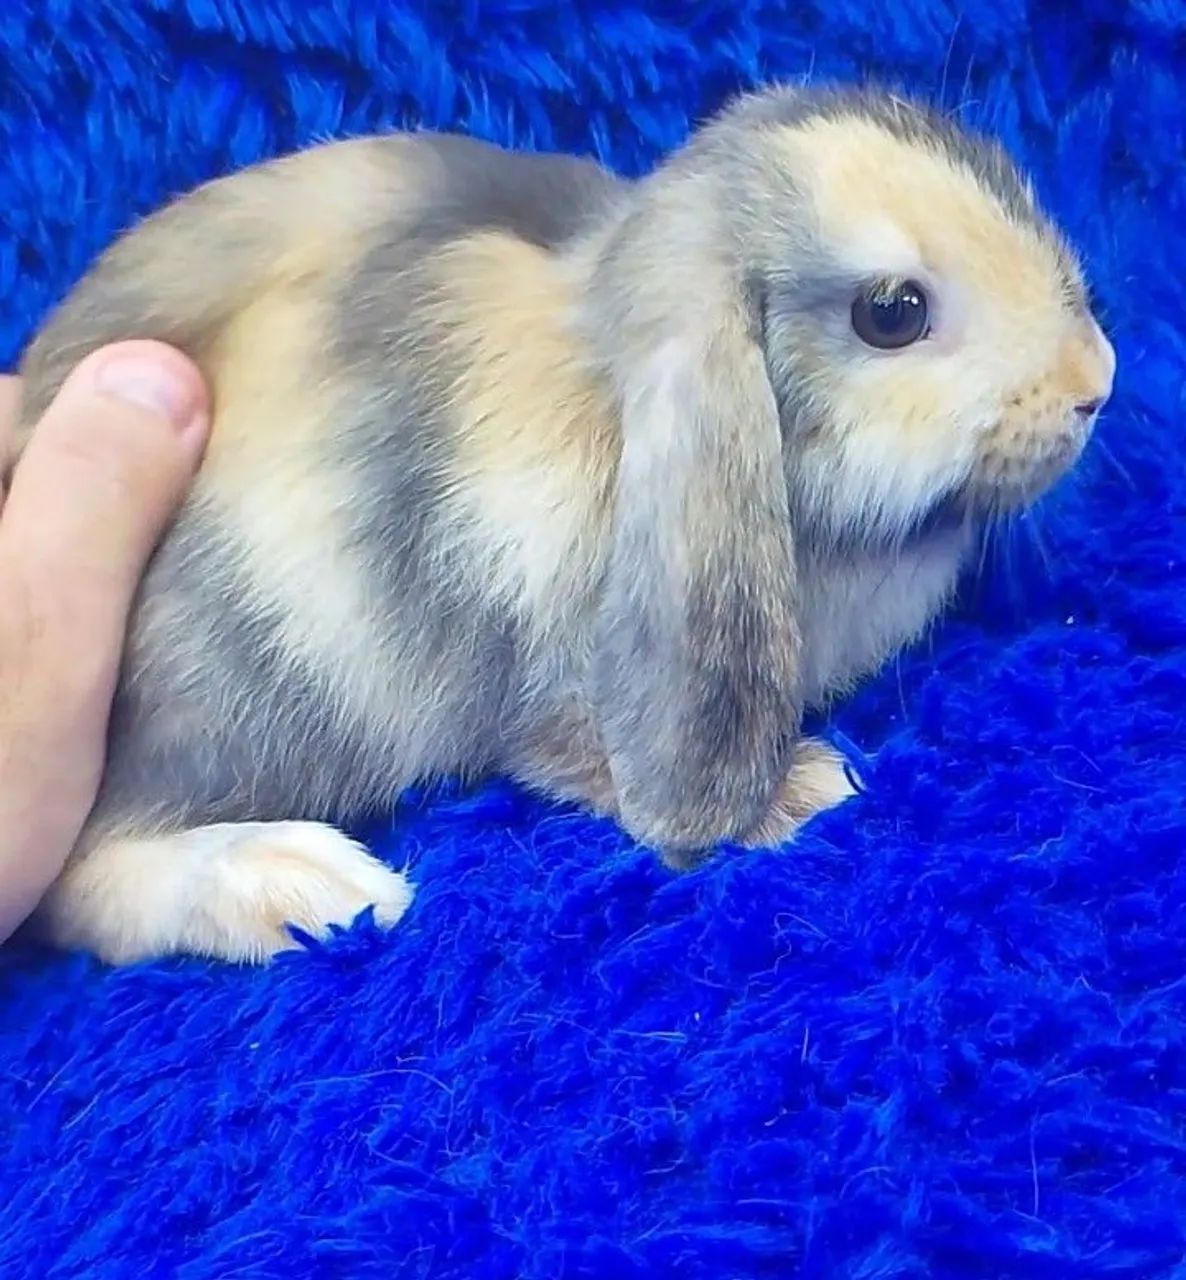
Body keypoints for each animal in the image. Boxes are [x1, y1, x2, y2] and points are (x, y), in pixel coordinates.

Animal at [4, 81, 1115, 966]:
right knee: (86, 879)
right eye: (892, 310)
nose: (1094, 382)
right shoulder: (546, 674)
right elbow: (576, 752)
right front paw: (804, 791)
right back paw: (299, 886)